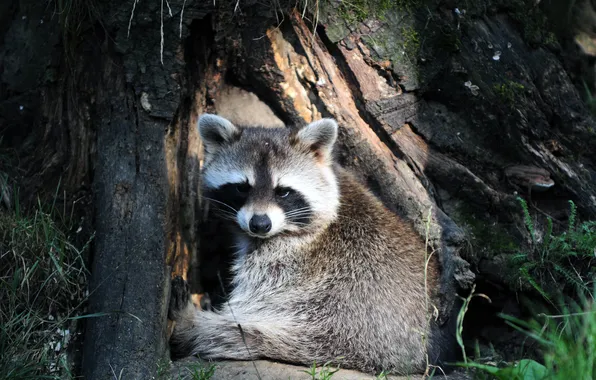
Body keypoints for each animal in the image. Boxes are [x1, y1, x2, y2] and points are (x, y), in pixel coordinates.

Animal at [170, 113, 458, 374]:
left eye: (283, 192)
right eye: (242, 187)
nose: (259, 224)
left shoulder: (285, 263)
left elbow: (247, 307)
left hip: (345, 317)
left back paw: (190, 324)